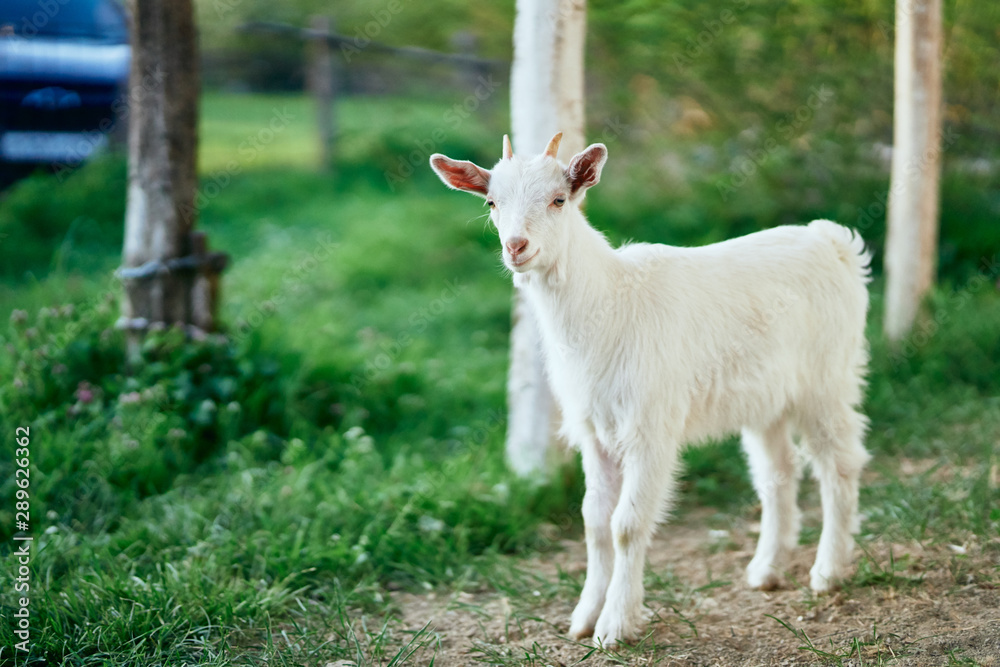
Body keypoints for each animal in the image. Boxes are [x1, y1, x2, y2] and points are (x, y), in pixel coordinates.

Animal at [430, 133, 871, 646]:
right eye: (491, 202)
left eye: (559, 200)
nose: (516, 246)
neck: (611, 301)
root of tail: (832, 241)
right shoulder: (595, 430)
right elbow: (595, 521)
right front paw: (584, 617)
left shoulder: (649, 426)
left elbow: (626, 523)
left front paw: (615, 624)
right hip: (766, 399)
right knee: (777, 471)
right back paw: (766, 569)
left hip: (826, 379)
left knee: (839, 463)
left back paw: (828, 571)